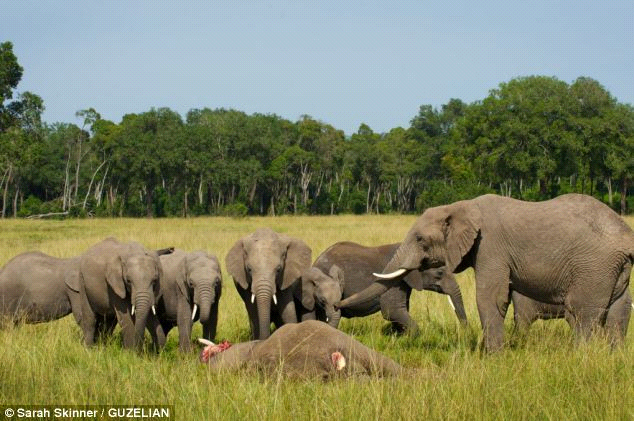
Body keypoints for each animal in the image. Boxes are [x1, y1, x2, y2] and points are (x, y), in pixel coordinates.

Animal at [296, 241, 464, 334]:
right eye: (439, 273)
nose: (464, 331)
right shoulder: (394, 281)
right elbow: (392, 310)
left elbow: (400, 311)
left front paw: (398, 337)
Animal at [338, 194, 632, 352]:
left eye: (420, 239)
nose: (337, 304)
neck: (460, 206)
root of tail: (625, 234)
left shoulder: (491, 247)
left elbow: (491, 297)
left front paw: (492, 356)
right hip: (613, 269)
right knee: (617, 311)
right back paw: (610, 357)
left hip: (593, 266)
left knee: (582, 314)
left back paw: (581, 356)